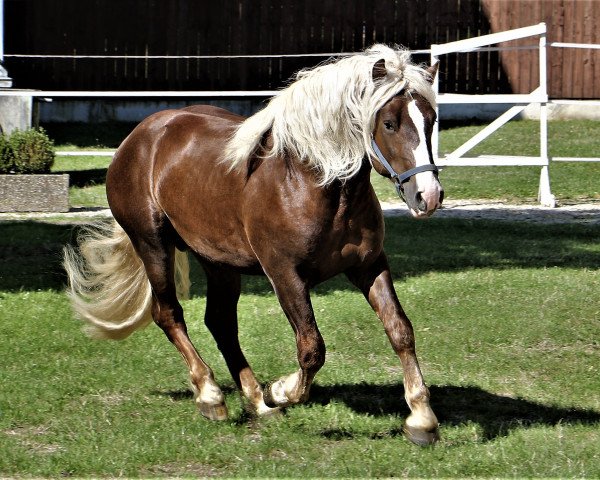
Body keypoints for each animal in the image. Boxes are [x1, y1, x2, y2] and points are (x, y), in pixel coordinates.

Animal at [63, 46, 442, 446]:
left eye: (431, 120)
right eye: (389, 123)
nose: (428, 196)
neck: (313, 182)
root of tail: (139, 136)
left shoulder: (369, 265)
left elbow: (400, 330)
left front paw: (421, 420)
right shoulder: (284, 275)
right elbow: (312, 348)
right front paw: (281, 390)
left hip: (219, 263)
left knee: (220, 322)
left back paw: (256, 401)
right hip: (152, 245)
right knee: (168, 314)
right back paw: (213, 396)